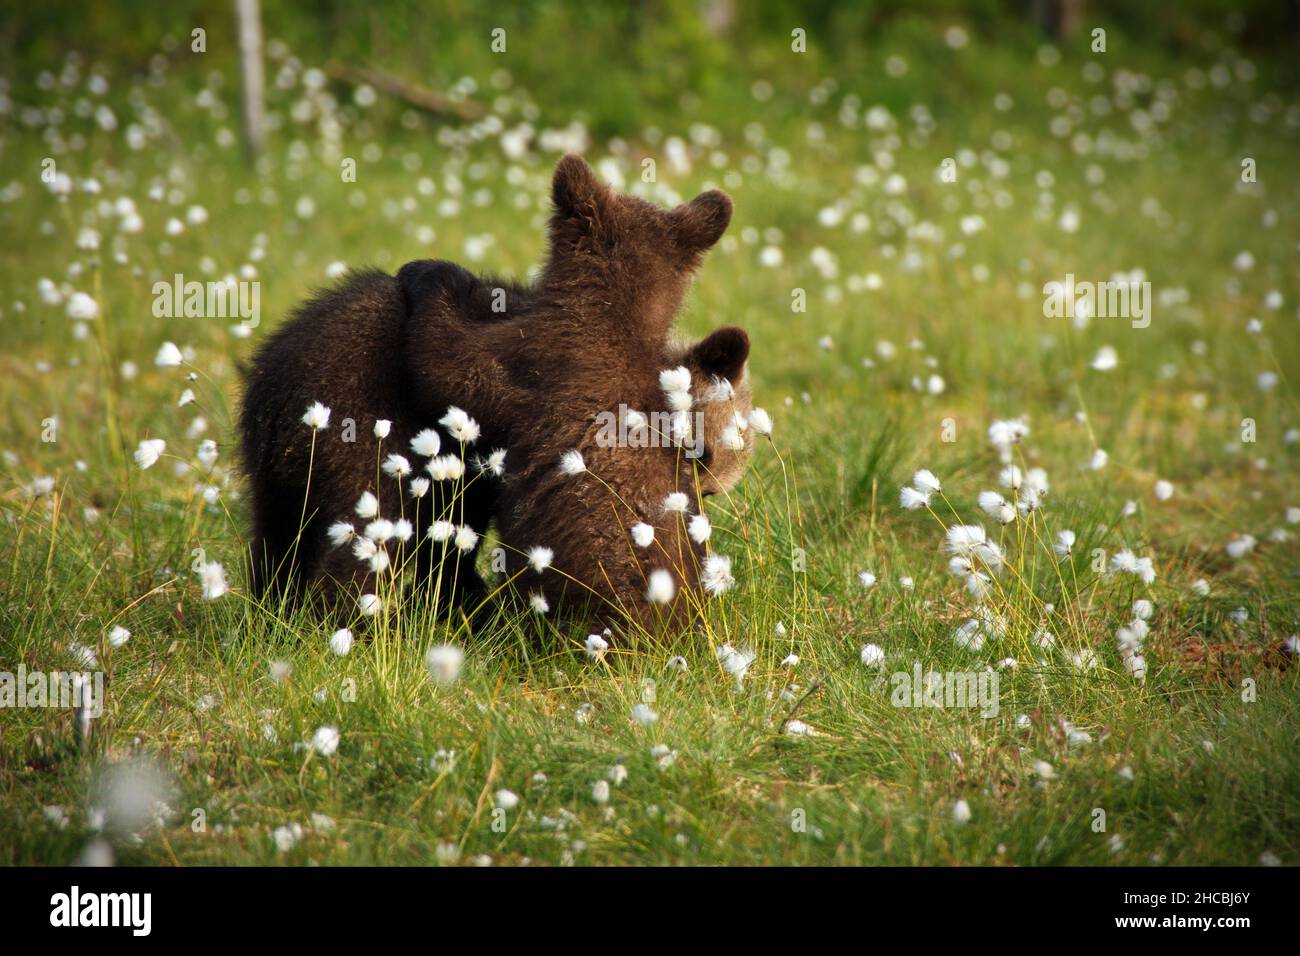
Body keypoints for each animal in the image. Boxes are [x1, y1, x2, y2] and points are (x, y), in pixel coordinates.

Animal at [239, 153, 755, 632]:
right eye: (705, 455)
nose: (707, 493)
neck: (616, 317)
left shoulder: (518, 369)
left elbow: (444, 357)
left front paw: (429, 271)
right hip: (307, 444)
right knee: (292, 534)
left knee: (361, 533)